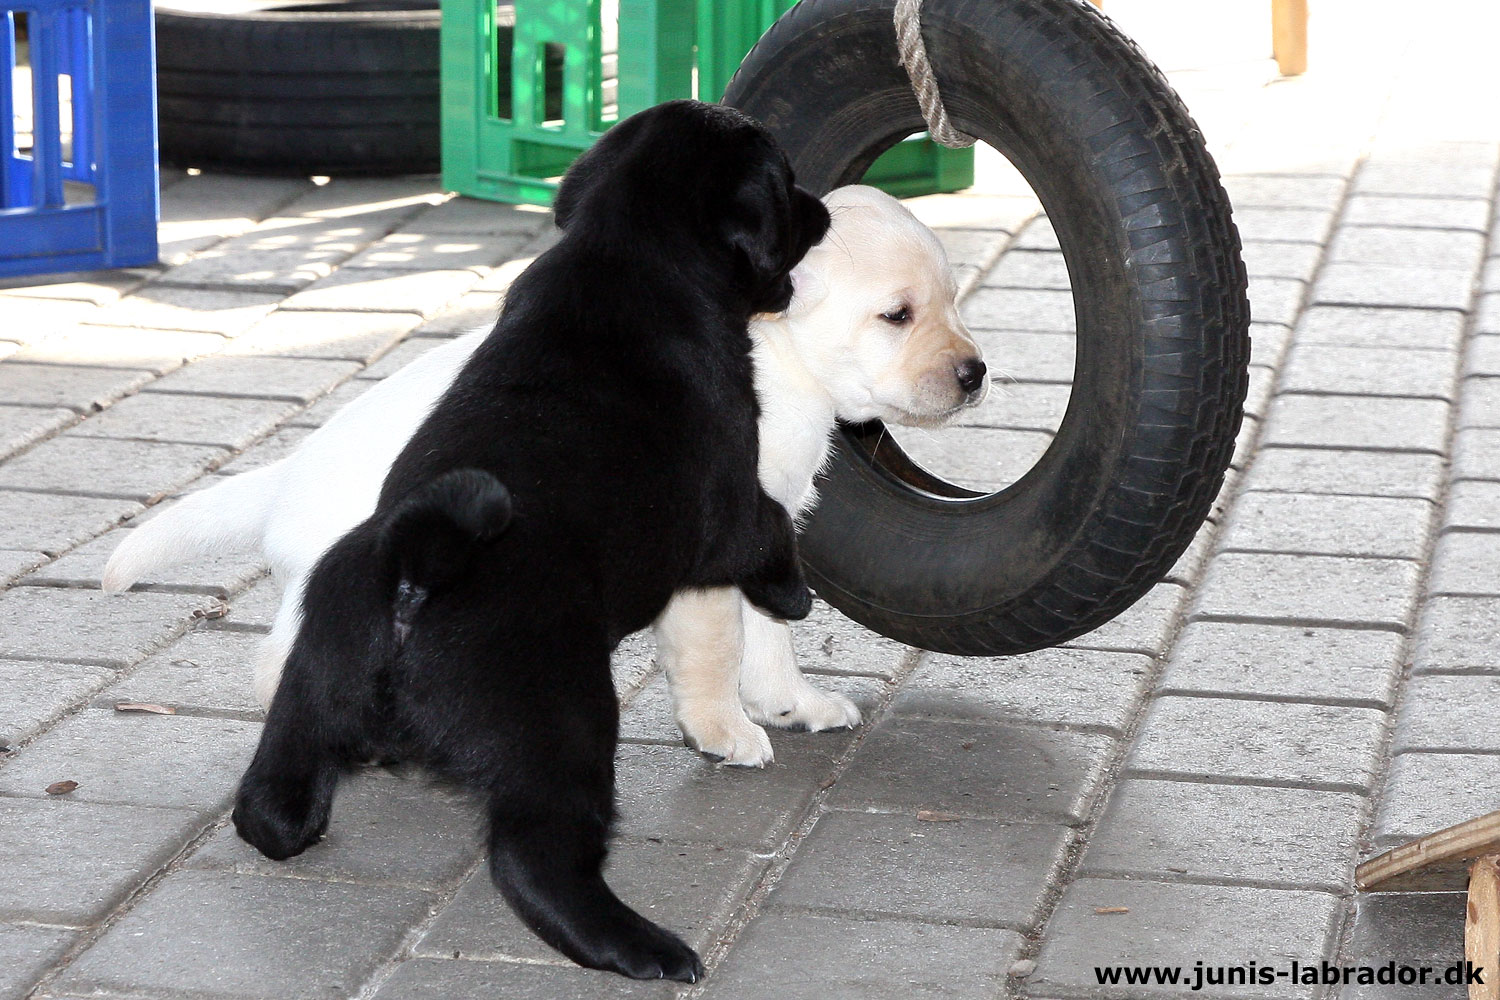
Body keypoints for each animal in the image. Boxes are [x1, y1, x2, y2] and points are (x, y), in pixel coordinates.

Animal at [231, 103, 834, 983]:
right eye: (787, 185)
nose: (822, 212)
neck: (625, 249)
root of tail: (416, 573)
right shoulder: (729, 494)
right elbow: (767, 533)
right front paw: (794, 595)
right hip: (566, 726)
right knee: (533, 860)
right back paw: (644, 946)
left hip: (310, 690)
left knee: (268, 803)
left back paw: (296, 819)